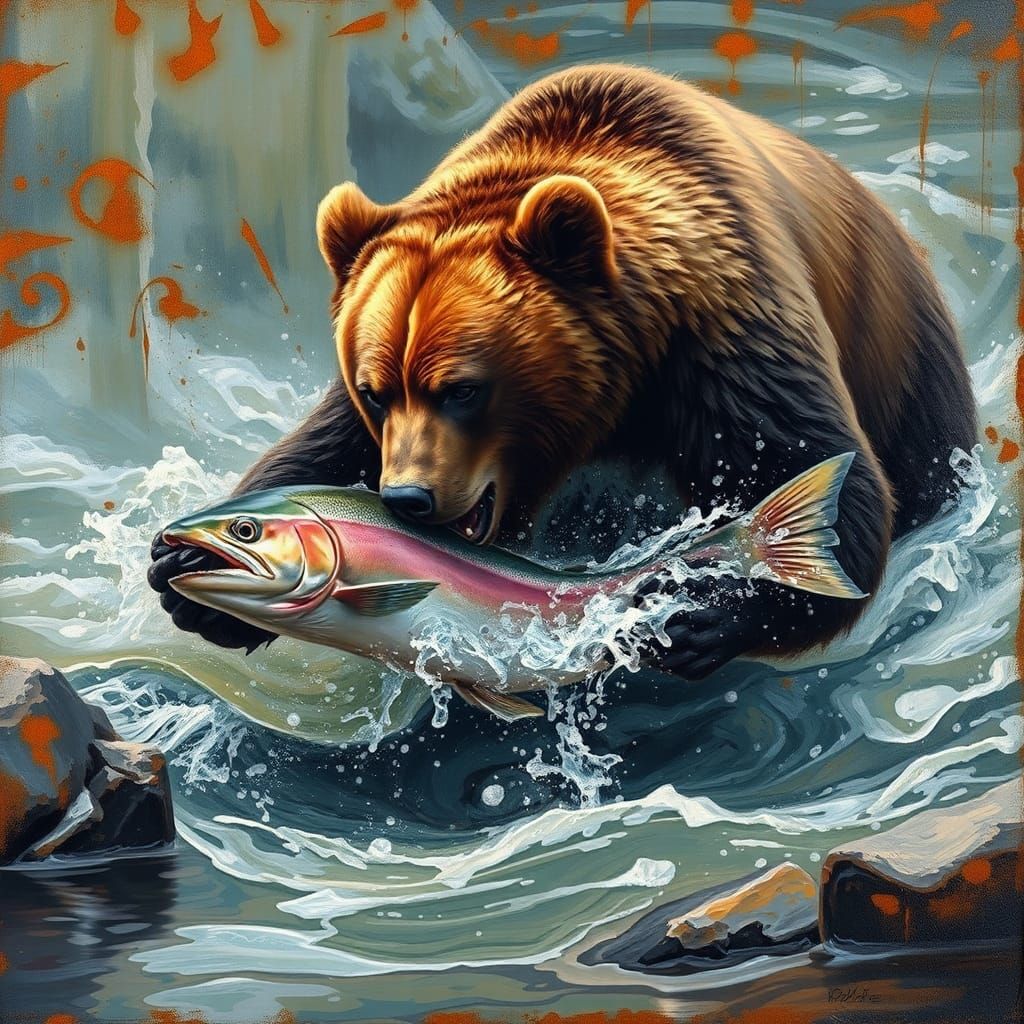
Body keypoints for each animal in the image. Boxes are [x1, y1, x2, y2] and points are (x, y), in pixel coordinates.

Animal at [149, 64, 976, 678]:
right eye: (375, 392)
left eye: (464, 390)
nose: (408, 499)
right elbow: (320, 447)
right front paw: (179, 572)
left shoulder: (727, 338)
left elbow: (830, 478)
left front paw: (704, 616)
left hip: (912, 374)